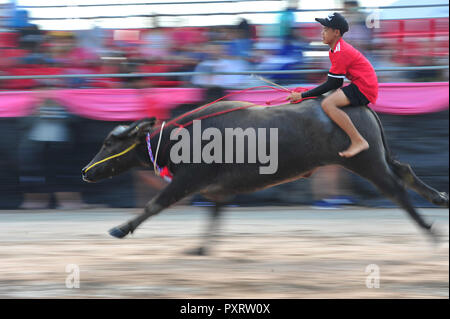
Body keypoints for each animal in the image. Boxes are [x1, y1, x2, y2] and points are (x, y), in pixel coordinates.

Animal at [82, 98, 448, 255]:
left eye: (109, 142)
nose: (86, 171)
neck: (184, 138)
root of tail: (360, 105)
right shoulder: (217, 189)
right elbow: (215, 216)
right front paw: (200, 249)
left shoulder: (189, 181)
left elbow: (155, 205)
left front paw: (120, 228)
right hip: (377, 159)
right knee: (406, 172)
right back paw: (440, 198)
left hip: (367, 163)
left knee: (396, 190)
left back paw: (430, 231)